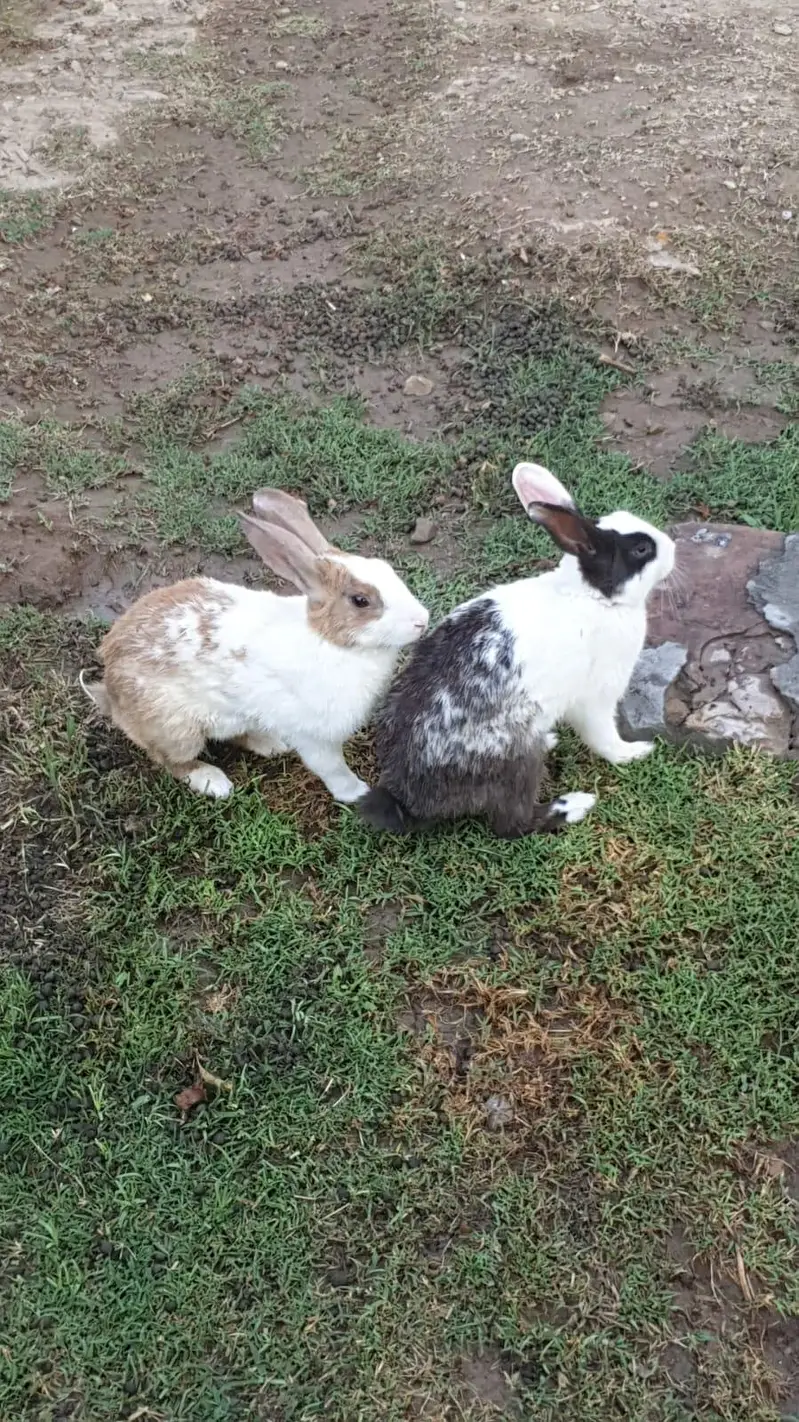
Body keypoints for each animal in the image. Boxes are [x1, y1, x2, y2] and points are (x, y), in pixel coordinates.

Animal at [80, 488, 430, 803]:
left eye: (386, 569)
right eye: (361, 600)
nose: (422, 620)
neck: (331, 641)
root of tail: (110, 691)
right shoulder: (315, 738)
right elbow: (332, 769)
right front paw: (358, 793)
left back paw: (272, 744)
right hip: (177, 729)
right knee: (171, 760)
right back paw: (214, 782)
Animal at [358, 461, 676, 839]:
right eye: (641, 550)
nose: (673, 548)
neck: (593, 596)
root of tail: (410, 802)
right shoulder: (596, 696)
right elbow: (604, 739)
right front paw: (636, 752)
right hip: (516, 758)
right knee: (512, 823)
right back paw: (573, 806)